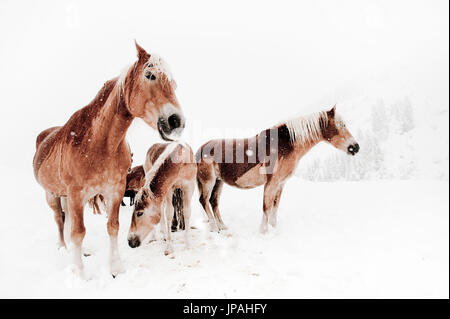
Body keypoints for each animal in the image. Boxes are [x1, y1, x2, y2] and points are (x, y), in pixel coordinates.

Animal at [32, 42, 185, 278]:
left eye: (174, 83)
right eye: (150, 75)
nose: (176, 121)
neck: (98, 144)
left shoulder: (114, 191)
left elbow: (112, 226)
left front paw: (115, 268)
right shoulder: (77, 194)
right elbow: (78, 232)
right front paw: (79, 273)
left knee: (67, 221)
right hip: (53, 194)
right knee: (59, 220)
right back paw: (63, 248)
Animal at [196, 106, 358, 234]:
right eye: (342, 124)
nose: (355, 147)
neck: (285, 145)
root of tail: (201, 149)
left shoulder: (281, 183)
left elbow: (275, 206)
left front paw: (274, 228)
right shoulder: (271, 183)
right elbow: (266, 207)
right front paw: (263, 232)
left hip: (218, 182)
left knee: (214, 202)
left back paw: (222, 226)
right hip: (209, 181)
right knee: (204, 200)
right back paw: (214, 228)